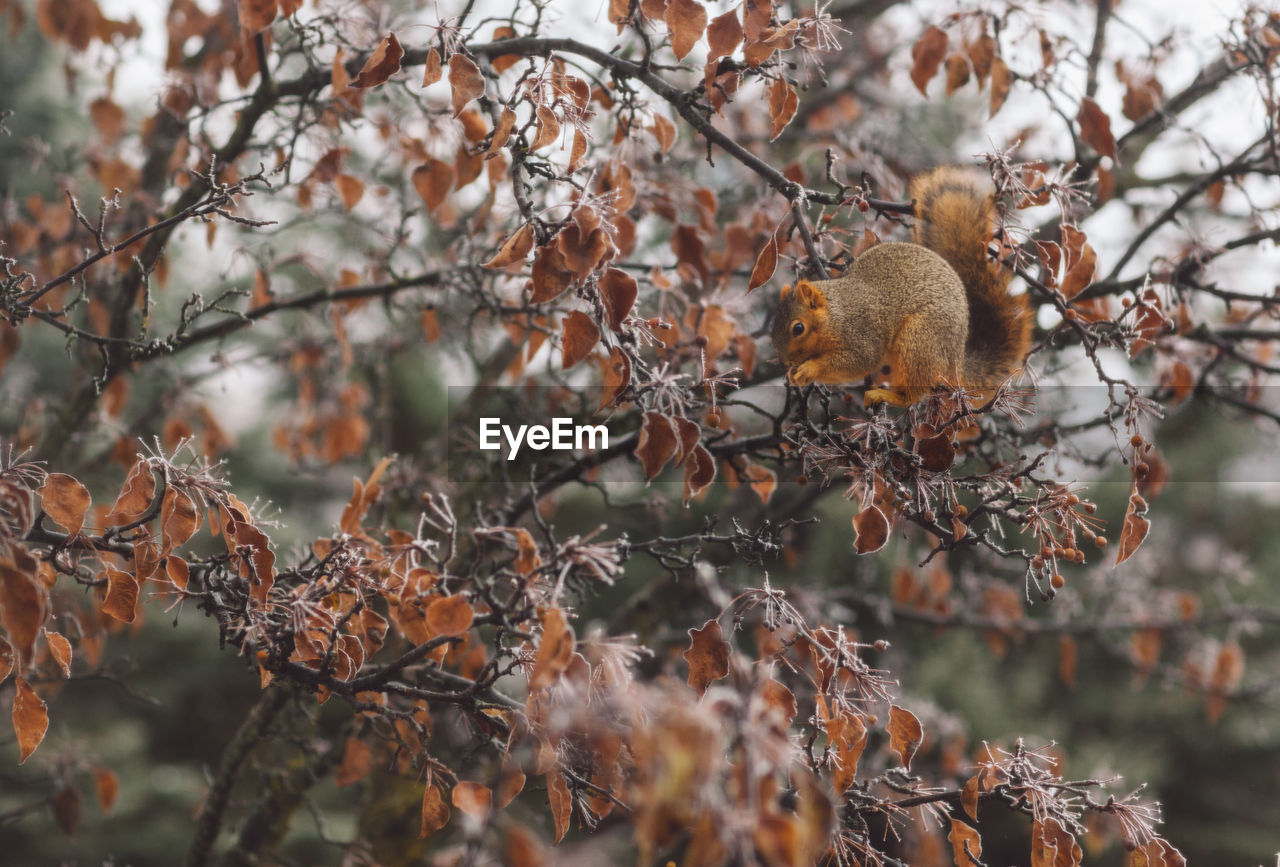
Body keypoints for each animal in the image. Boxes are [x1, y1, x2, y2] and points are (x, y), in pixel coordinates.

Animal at [768, 166, 1029, 404]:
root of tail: (955, 360)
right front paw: (794, 373)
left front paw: (808, 369)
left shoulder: (862, 333)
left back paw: (891, 396)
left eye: (798, 328)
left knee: (915, 391)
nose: (786, 362)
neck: (835, 314)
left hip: (920, 340)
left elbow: (858, 362)